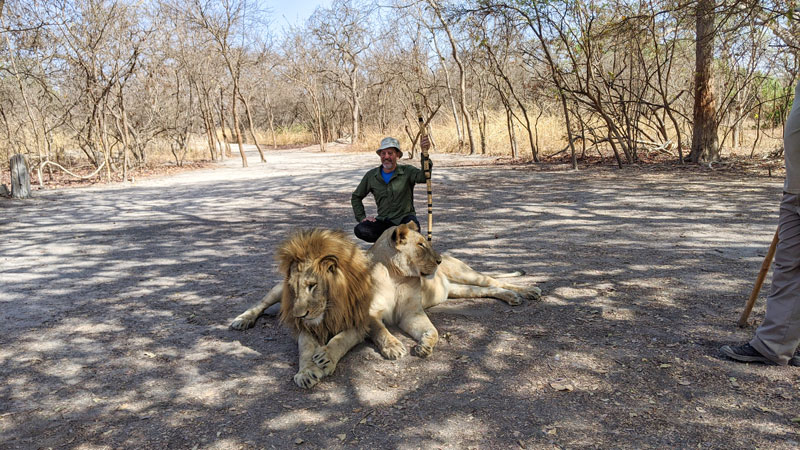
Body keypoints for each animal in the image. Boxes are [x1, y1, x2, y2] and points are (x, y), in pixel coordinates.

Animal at [240, 228, 375, 389]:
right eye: (293, 287)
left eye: (312, 285)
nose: (299, 316)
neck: (332, 311)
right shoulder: (305, 327)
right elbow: (305, 349)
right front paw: (306, 372)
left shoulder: (360, 323)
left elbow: (341, 339)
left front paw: (326, 356)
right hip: (278, 292)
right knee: (261, 303)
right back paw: (242, 320)